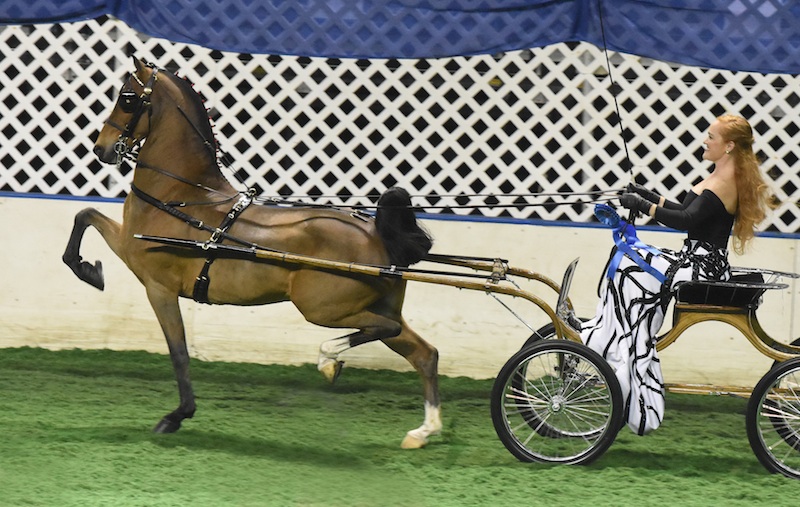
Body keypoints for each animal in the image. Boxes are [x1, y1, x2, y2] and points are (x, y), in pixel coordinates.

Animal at [61, 57, 440, 450]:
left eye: (128, 98)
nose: (102, 149)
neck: (181, 198)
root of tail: (376, 234)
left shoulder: (158, 287)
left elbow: (179, 353)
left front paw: (176, 416)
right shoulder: (126, 244)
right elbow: (85, 215)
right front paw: (89, 270)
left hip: (323, 308)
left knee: (387, 331)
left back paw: (329, 359)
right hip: (373, 307)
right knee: (424, 353)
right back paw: (422, 431)